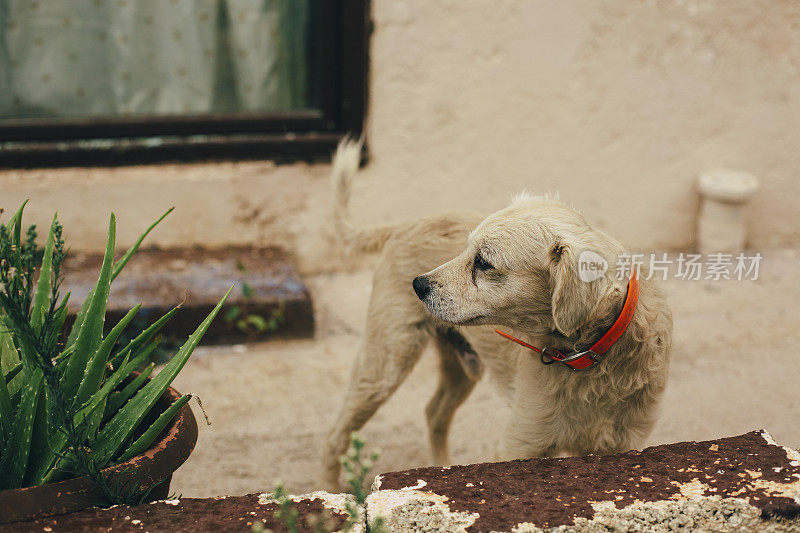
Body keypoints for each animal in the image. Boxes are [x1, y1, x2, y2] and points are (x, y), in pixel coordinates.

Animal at [322, 139, 672, 488]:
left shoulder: (622, 443)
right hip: (384, 365)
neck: (593, 360)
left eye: (484, 263)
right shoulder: (523, 440)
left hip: (462, 367)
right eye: (466, 252)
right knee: (335, 435)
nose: (418, 285)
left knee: (434, 413)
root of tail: (407, 223)